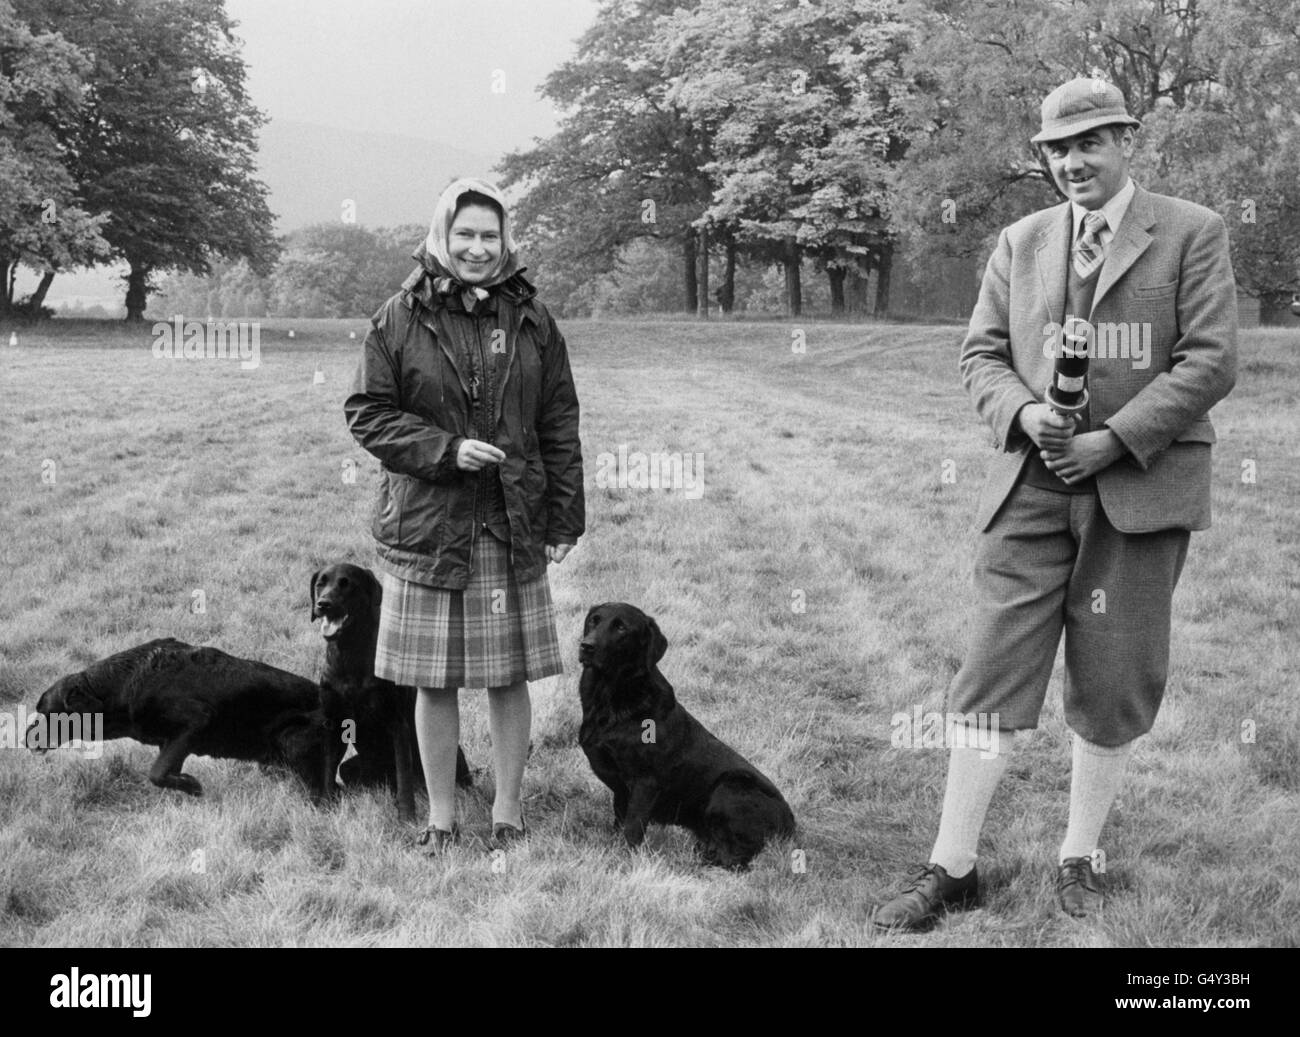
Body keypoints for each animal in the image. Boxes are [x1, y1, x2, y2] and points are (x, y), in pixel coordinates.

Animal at [28, 636, 327, 800]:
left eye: (46, 713)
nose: (26, 738)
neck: (122, 686)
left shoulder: (195, 722)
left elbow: (157, 774)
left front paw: (192, 786)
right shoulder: (170, 743)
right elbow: (165, 770)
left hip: (293, 742)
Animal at [309, 563, 473, 826]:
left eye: (347, 584)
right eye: (320, 584)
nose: (323, 603)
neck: (350, 654)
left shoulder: (398, 724)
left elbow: (403, 774)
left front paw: (406, 815)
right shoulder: (333, 722)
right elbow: (328, 768)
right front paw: (326, 804)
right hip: (353, 767)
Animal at [577, 600, 790, 868]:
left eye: (621, 628)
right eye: (593, 620)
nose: (586, 646)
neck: (610, 699)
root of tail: (791, 823)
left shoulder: (645, 782)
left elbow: (633, 827)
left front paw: (625, 859)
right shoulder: (621, 789)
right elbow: (620, 819)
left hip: (731, 786)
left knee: (740, 858)